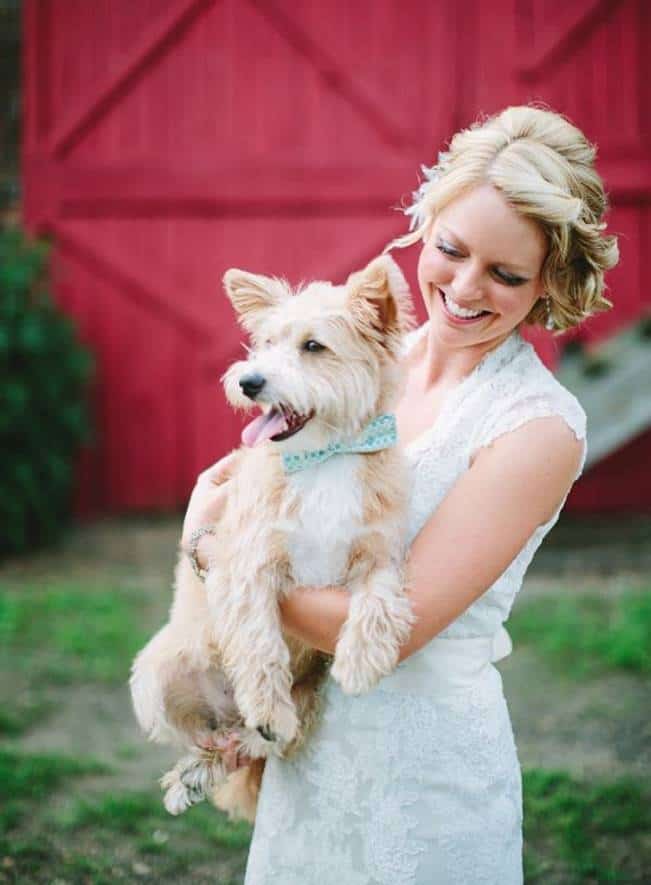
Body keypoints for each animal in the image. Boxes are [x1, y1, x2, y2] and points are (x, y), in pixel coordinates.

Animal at [129, 252, 416, 820]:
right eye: (263, 343)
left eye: (313, 346)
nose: (250, 382)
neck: (325, 457)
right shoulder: (246, 565)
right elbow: (260, 647)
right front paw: (266, 706)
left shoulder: (381, 554)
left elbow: (378, 599)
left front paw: (360, 660)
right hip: (155, 674)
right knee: (207, 736)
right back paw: (200, 765)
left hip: (310, 694)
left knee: (258, 746)